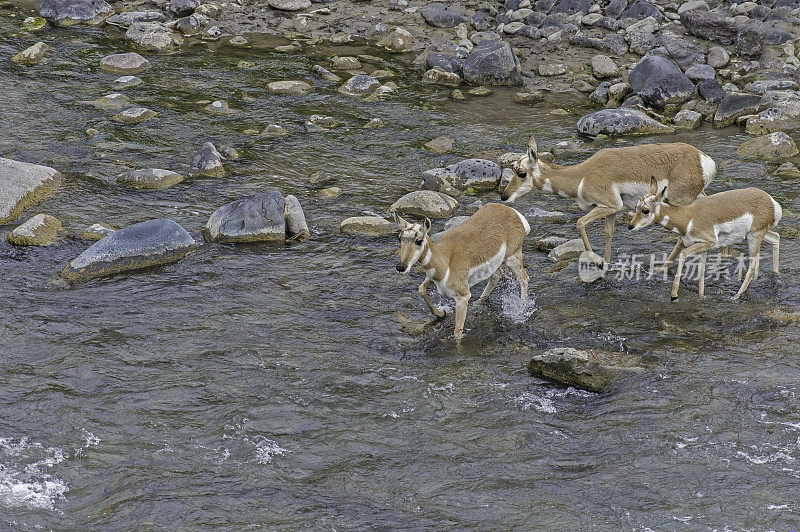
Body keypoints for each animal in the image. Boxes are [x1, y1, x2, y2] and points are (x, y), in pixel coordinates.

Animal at [394, 202, 532, 338]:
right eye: (400, 238)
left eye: (418, 241)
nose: (401, 267)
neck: (446, 260)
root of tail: (513, 212)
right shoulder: (432, 277)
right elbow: (421, 289)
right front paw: (441, 313)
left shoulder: (463, 297)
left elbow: (457, 333)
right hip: (497, 264)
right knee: (495, 277)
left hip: (513, 258)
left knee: (524, 279)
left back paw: (519, 314)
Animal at [504, 137, 716, 262]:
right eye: (513, 168)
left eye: (521, 172)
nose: (504, 195)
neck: (584, 174)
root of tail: (703, 158)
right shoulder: (613, 211)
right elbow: (608, 233)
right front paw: (605, 264)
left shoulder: (608, 205)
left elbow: (580, 223)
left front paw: (595, 261)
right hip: (696, 196)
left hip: (680, 201)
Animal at [632, 179, 780, 302]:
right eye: (636, 207)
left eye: (645, 210)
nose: (630, 226)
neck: (689, 216)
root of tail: (771, 202)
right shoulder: (703, 247)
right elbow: (701, 271)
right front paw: (701, 296)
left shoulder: (708, 243)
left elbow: (683, 254)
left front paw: (674, 295)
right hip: (758, 234)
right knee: (776, 238)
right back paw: (775, 274)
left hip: (754, 237)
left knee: (754, 264)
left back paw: (736, 296)